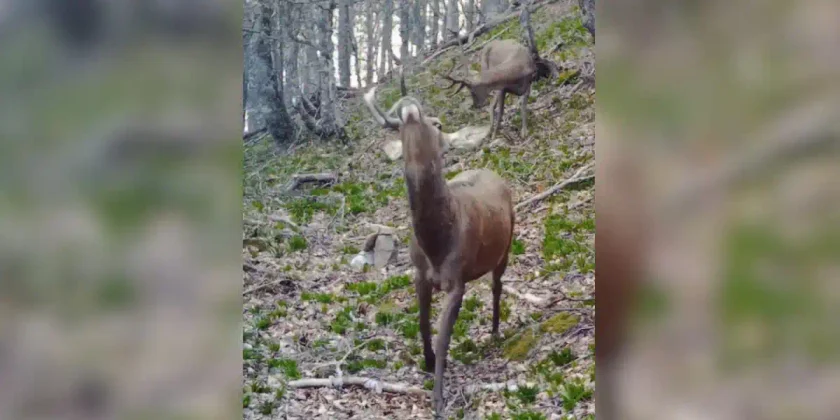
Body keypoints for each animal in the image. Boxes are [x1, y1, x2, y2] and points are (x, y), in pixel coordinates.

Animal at [397, 101, 515, 418]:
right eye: (398, 130)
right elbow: (422, 323)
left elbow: (443, 338)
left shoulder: (456, 281)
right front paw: (427, 361)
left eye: (438, 123)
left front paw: (438, 398)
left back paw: (495, 331)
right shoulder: (420, 275)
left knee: (497, 285)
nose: (409, 109)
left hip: (508, 243)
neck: (436, 247)